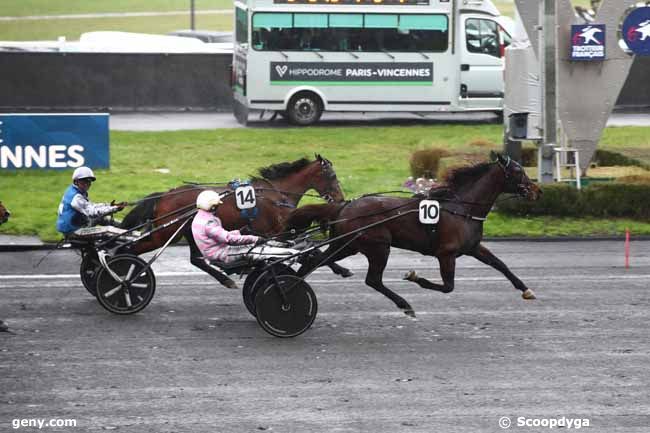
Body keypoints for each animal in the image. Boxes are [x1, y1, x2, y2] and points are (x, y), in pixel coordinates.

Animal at [119, 155, 346, 286]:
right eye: (332, 176)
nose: (341, 199)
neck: (276, 193)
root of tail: (164, 195)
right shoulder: (277, 233)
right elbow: (311, 250)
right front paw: (340, 268)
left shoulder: (281, 233)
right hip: (165, 234)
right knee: (130, 249)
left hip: (187, 231)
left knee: (195, 259)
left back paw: (225, 279)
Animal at [288, 154, 540, 316]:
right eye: (518, 171)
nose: (537, 190)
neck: (462, 208)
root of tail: (344, 206)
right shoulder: (446, 254)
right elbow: (448, 286)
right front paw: (414, 277)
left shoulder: (473, 247)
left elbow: (500, 264)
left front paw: (526, 289)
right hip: (378, 247)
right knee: (372, 280)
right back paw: (404, 304)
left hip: (347, 245)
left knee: (313, 262)